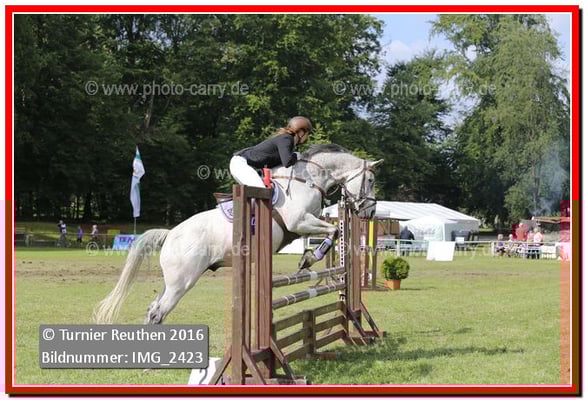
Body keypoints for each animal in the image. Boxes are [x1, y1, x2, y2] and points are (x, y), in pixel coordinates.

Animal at [94, 144, 383, 325]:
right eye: (370, 181)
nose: (369, 212)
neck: (308, 179)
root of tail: (170, 234)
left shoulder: (305, 223)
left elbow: (330, 231)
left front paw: (308, 256)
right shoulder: (299, 222)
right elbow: (332, 230)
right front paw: (308, 259)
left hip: (172, 281)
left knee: (154, 309)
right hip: (182, 282)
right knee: (159, 311)